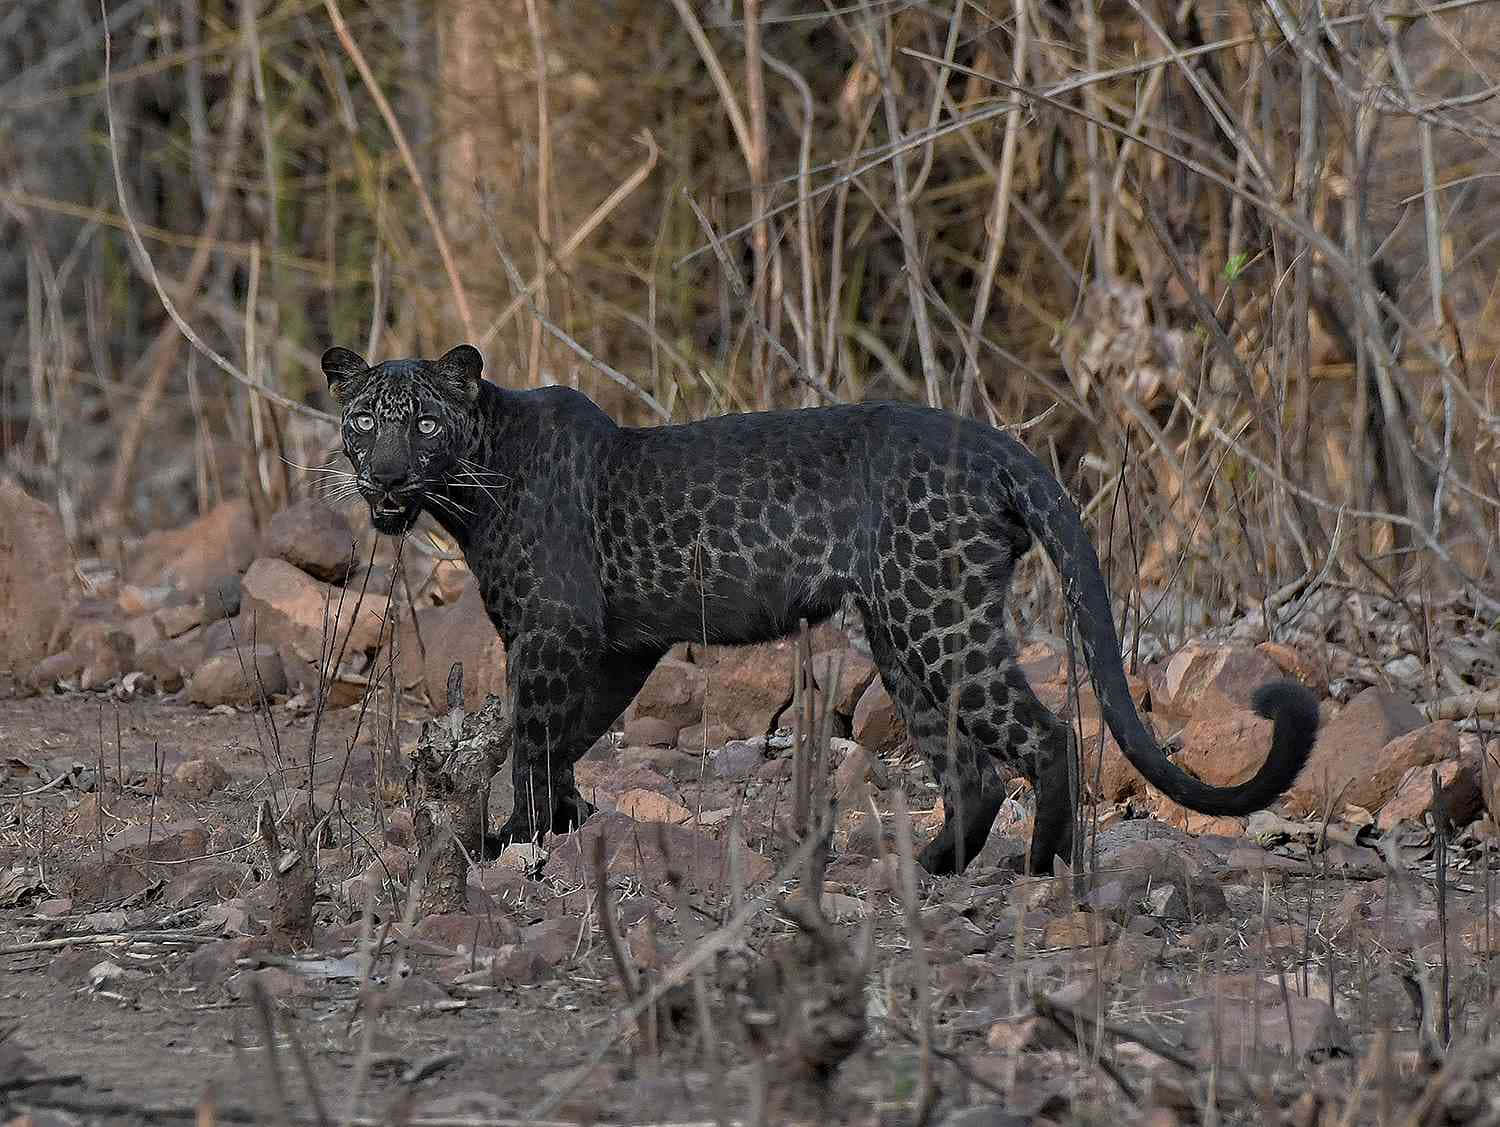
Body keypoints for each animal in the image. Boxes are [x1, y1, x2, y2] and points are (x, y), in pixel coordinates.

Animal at [323, 342, 1320, 875]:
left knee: (1046, 735)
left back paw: (1041, 867)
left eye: (423, 422)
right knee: (972, 768)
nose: (386, 476)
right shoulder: (618, 644)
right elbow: (566, 737)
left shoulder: (555, 632)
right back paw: (930, 868)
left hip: (938, 619)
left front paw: (518, 839)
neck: (470, 487)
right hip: (902, 632)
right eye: (364, 419)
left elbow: (532, 738)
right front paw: (561, 824)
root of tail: (998, 444)